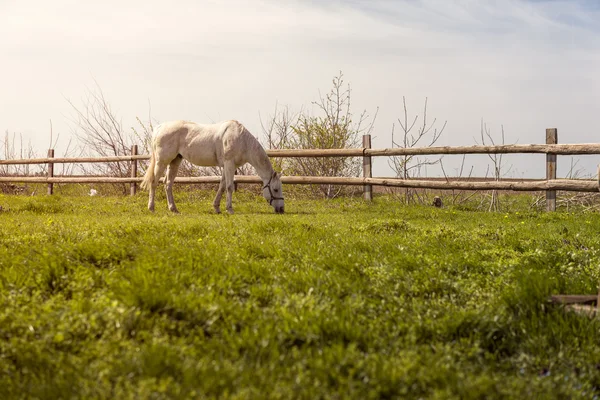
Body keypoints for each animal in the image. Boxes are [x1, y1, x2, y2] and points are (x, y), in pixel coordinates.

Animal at [139, 119, 284, 214]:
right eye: (275, 189)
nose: (281, 209)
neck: (242, 141)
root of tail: (160, 128)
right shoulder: (229, 164)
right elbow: (229, 187)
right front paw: (230, 209)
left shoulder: (227, 166)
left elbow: (222, 186)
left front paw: (217, 208)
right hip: (162, 161)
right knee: (154, 182)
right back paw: (151, 208)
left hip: (175, 161)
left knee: (167, 183)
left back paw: (173, 209)